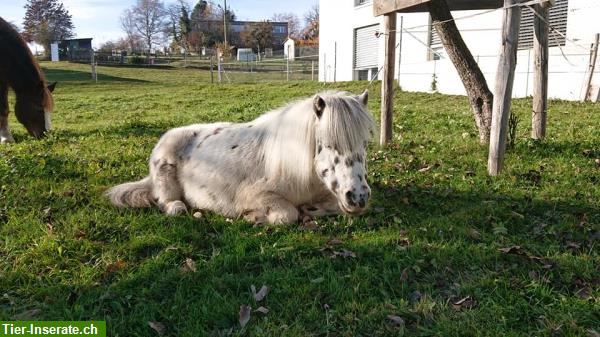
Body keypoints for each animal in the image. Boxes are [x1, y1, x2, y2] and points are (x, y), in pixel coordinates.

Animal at [105, 89, 372, 223]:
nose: (358, 197)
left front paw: (313, 209)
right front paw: (255, 217)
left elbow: (334, 207)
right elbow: (287, 215)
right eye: (328, 144)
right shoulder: (257, 194)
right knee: (168, 202)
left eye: (364, 143)